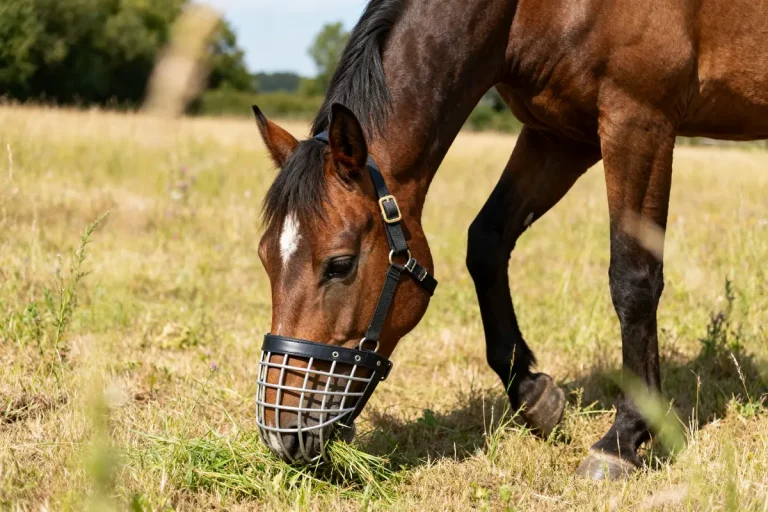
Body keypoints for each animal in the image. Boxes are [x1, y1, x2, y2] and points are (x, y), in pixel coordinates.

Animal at [252, 0, 768, 478]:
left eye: (339, 263)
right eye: (264, 258)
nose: (282, 434)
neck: (530, 13)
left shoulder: (639, 122)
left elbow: (633, 280)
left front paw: (622, 439)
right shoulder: (559, 135)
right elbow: (486, 241)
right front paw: (532, 394)